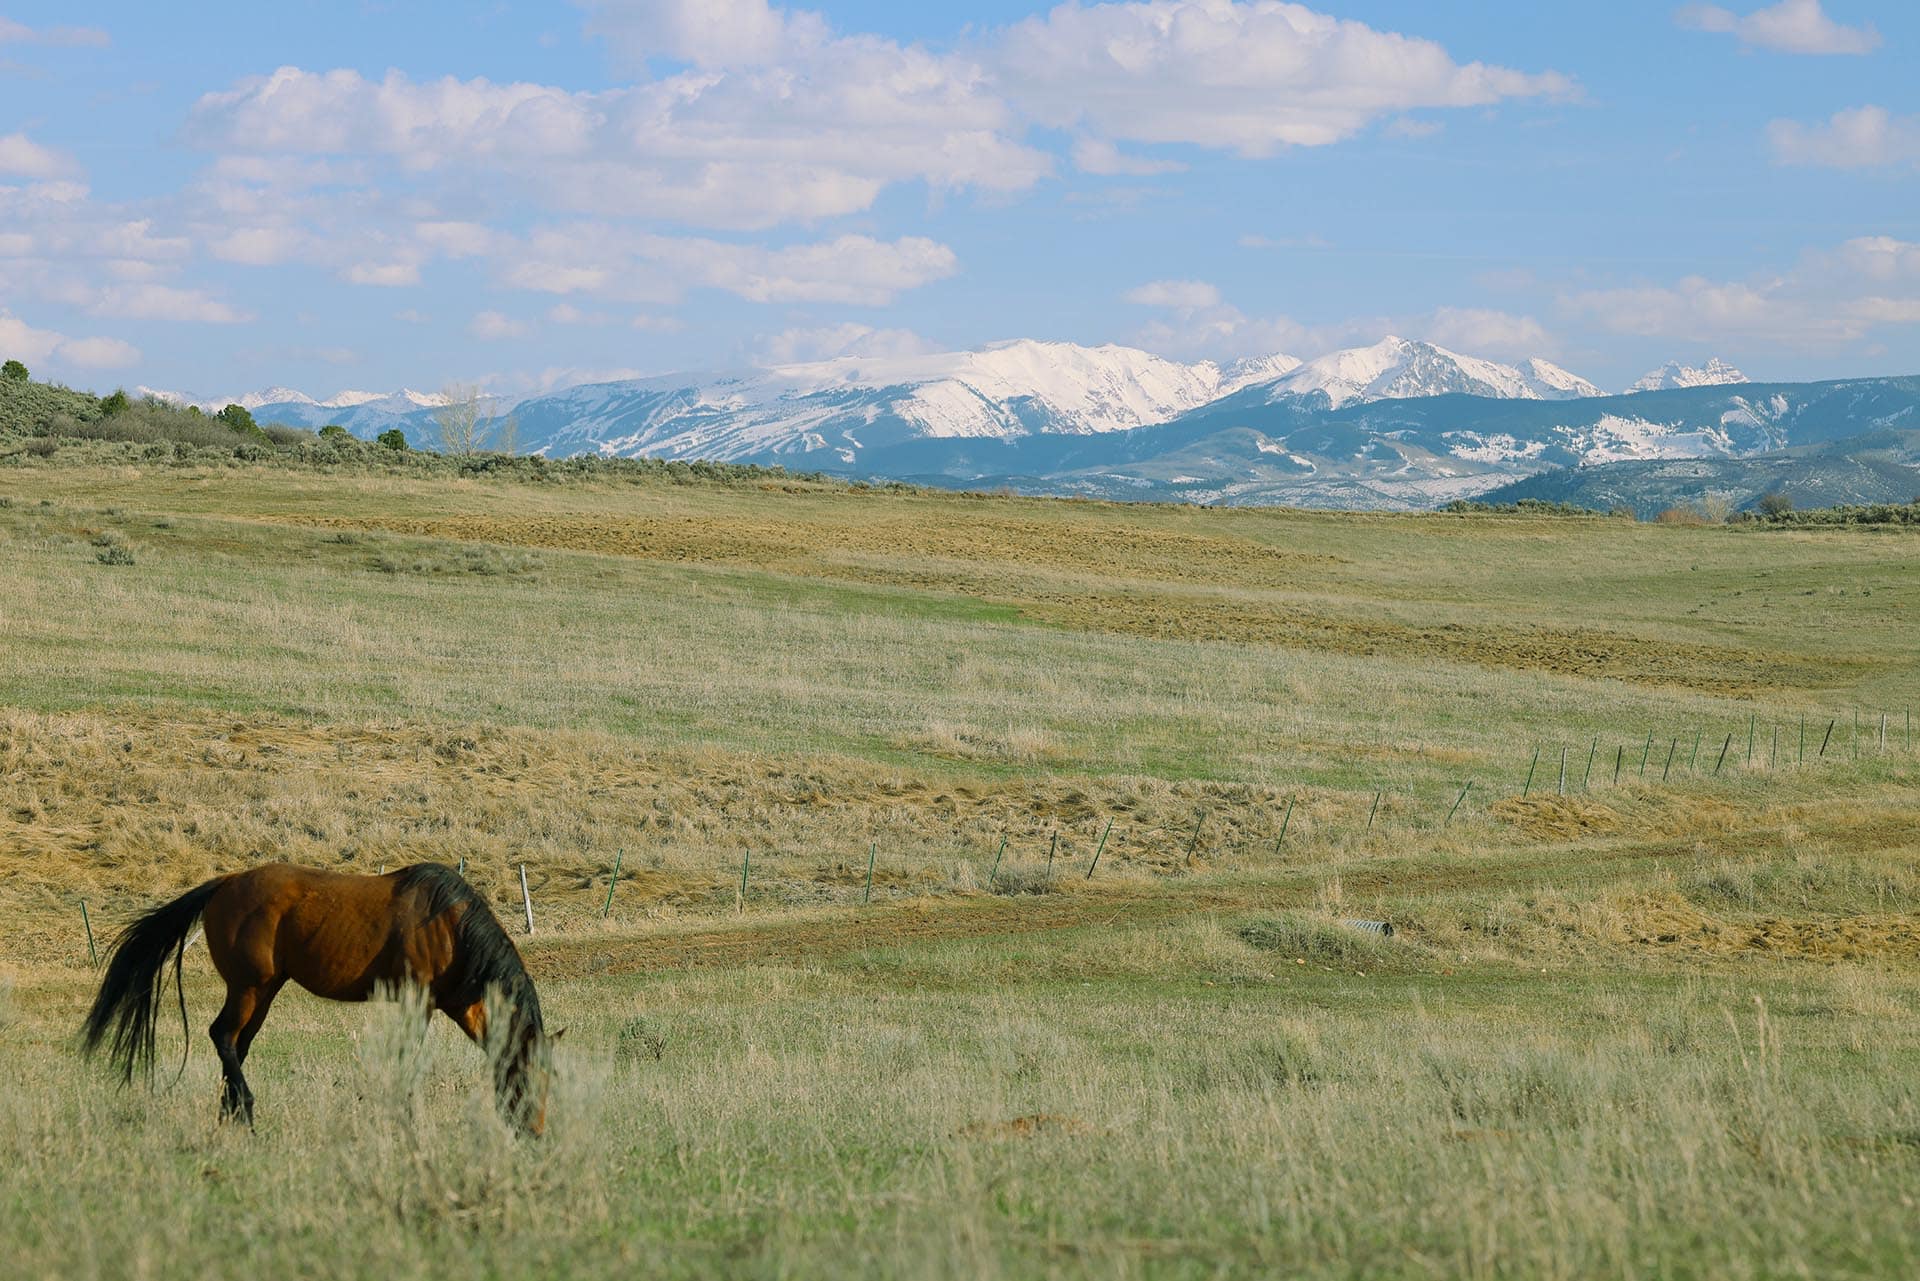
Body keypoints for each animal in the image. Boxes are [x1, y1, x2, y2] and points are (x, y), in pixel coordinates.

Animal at [81, 862, 556, 1136]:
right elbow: (407, 1057)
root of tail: (225, 884)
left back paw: (229, 1115)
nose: (534, 1133)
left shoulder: (454, 1005)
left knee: (236, 1045)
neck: (451, 928)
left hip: (265, 991)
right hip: (249, 986)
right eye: (529, 1078)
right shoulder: (416, 1000)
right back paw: (245, 1112)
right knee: (224, 1037)